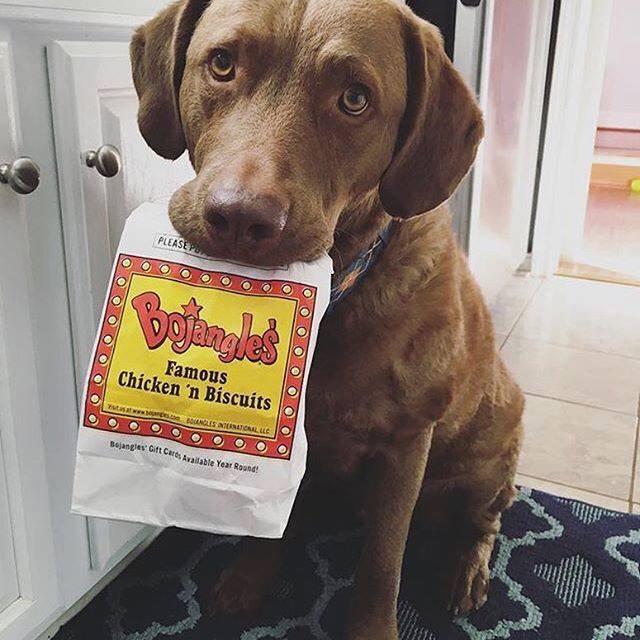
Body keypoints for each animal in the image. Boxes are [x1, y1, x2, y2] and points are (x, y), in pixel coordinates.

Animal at [130, 0, 524, 637]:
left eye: (355, 98)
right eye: (222, 63)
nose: (239, 218)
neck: (330, 300)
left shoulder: (407, 442)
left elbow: (382, 562)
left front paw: (372, 628)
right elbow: (268, 527)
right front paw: (249, 577)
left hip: (490, 455)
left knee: (484, 519)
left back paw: (468, 570)